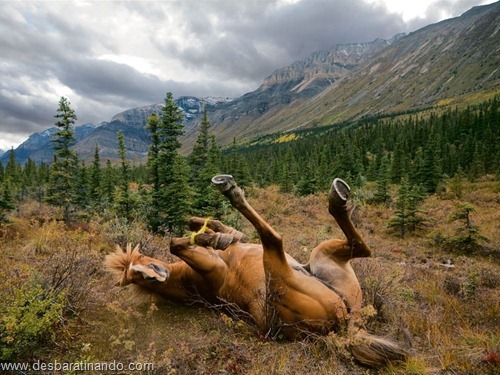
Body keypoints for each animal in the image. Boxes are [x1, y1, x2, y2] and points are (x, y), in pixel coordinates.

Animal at [105, 177, 406, 370]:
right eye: (137, 277)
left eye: (140, 263)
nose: (154, 275)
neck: (192, 282)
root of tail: (344, 328)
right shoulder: (212, 268)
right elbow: (176, 244)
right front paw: (210, 238)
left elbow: (212, 228)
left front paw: (214, 233)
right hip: (281, 269)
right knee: (274, 238)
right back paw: (232, 190)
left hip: (323, 257)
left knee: (361, 246)